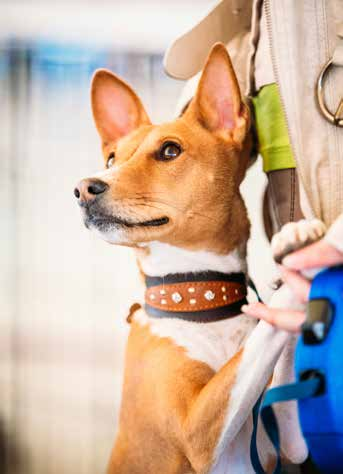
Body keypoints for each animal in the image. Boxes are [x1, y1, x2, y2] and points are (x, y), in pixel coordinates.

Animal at [74, 42, 324, 472]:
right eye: (111, 160)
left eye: (169, 150)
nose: (84, 188)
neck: (201, 301)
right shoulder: (198, 432)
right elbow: (257, 345)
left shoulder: (291, 448)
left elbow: (279, 363)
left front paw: (297, 240)